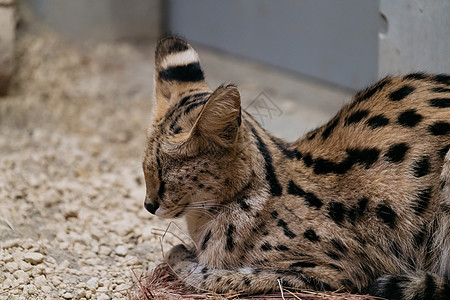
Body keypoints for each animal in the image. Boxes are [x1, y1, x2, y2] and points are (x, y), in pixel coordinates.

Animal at [142, 37, 450, 300]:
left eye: (165, 175)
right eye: (145, 170)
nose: (148, 205)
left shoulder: (344, 269)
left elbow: (221, 276)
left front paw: (182, 257)